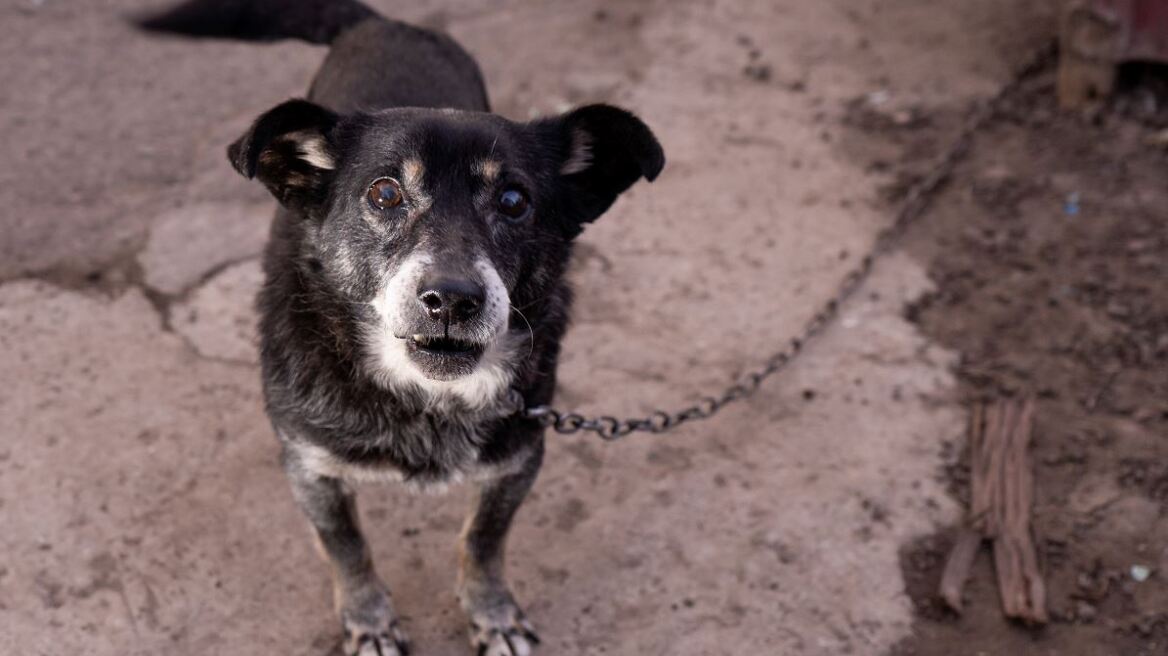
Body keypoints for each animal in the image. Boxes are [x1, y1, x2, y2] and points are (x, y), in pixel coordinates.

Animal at [136, 2, 663, 648]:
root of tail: (386, 22)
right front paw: (370, 623)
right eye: (385, 193)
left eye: (514, 200)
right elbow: (349, 549)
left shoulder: (519, 456)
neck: (426, 399)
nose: (452, 299)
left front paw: (492, 612)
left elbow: (484, 539)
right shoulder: (310, 468)